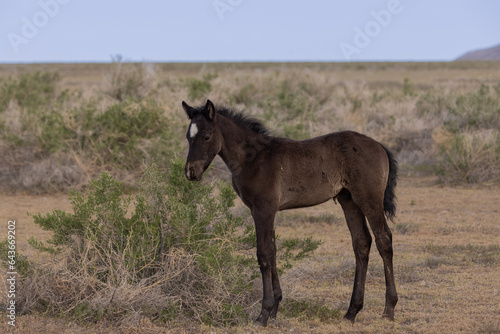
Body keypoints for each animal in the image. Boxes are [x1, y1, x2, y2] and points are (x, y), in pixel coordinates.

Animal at [182, 100, 396, 326]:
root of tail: (380, 146)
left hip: (369, 200)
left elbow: (264, 255)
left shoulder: (263, 210)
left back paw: (389, 309)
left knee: (383, 240)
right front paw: (275, 307)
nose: (191, 172)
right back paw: (352, 311)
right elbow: (273, 251)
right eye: (188, 137)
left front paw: (263, 313)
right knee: (362, 243)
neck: (253, 158)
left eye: (207, 136)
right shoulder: (268, 212)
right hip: (349, 201)